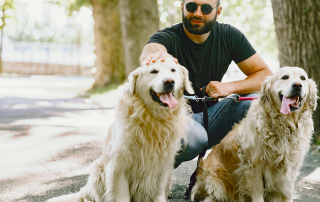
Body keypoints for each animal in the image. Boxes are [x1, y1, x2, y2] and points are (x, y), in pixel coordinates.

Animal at [46, 57, 194, 201]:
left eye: (173, 70)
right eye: (153, 71)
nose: (169, 82)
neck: (153, 118)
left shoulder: (164, 162)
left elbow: (157, 191)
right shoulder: (119, 163)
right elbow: (121, 195)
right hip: (98, 171)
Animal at [190, 67, 318, 202]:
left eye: (303, 78)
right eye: (284, 77)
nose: (297, 85)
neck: (284, 125)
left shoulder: (291, 167)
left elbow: (288, 193)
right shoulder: (254, 164)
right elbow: (257, 192)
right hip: (216, 178)